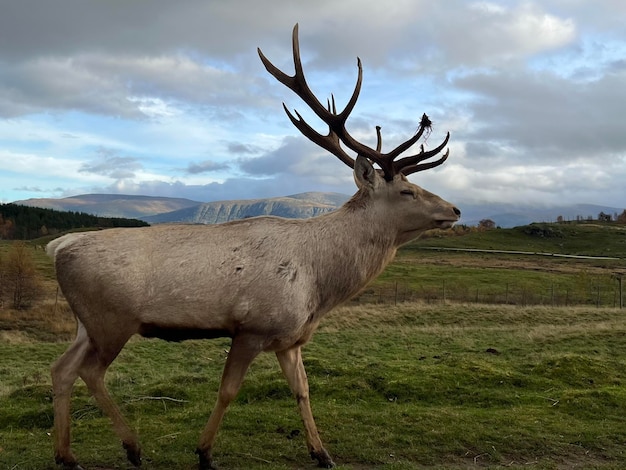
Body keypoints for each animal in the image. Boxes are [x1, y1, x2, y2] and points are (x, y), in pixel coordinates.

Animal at [47, 24, 458, 470]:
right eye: (406, 191)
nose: (454, 209)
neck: (320, 286)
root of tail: (58, 246)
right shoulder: (252, 327)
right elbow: (228, 390)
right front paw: (204, 452)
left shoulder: (290, 339)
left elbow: (302, 389)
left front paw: (322, 453)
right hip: (112, 319)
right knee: (90, 372)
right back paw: (132, 446)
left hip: (86, 323)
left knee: (61, 368)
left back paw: (67, 455)